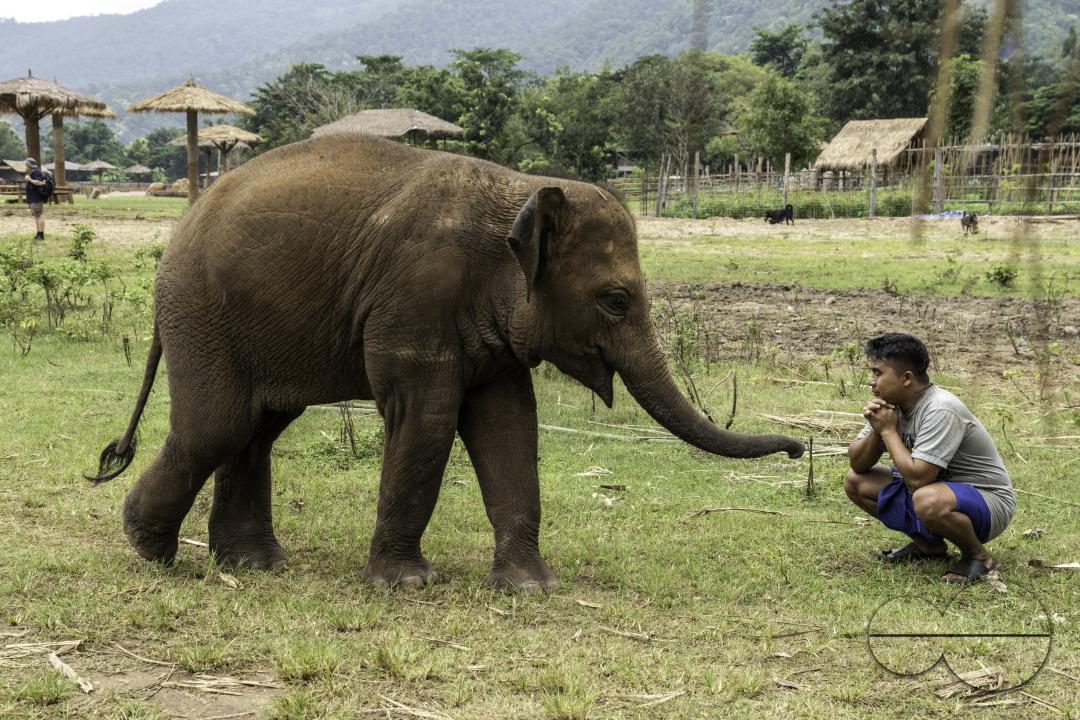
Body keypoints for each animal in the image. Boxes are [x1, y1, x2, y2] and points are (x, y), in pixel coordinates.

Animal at [89, 135, 804, 592]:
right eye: (616, 300)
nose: (801, 447)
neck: (518, 191)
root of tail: (180, 227)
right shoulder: (416, 298)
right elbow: (428, 417)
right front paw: (406, 585)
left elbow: (509, 426)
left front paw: (530, 588)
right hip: (201, 311)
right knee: (220, 425)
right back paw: (151, 549)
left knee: (258, 427)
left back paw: (254, 566)